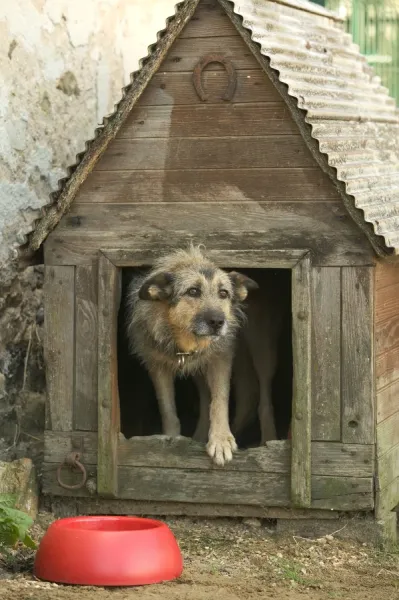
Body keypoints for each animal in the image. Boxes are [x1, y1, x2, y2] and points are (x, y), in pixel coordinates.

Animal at [127, 246, 260, 466]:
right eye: (193, 291)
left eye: (223, 293)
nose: (218, 322)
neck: (186, 343)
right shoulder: (157, 366)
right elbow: (168, 408)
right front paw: (170, 439)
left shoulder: (220, 359)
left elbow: (219, 400)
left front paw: (221, 439)